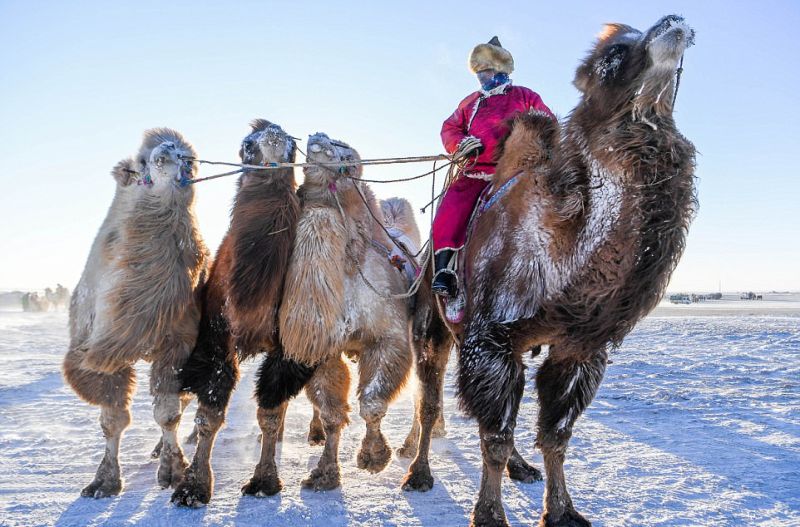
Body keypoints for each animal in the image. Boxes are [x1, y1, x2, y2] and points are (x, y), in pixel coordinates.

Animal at [63, 129, 209, 500]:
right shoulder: (98, 351)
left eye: (190, 159)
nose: (169, 151)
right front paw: (103, 481)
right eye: (141, 161)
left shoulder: (177, 345)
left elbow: (168, 413)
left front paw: (173, 470)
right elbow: (112, 418)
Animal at [171, 119, 300, 508]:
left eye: (292, 148)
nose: (273, 143)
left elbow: (270, 412)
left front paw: (264, 480)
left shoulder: (286, 345)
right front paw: (192, 487)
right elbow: (209, 413)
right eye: (247, 145)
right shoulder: (217, 337)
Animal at [241, 132, 418, 496]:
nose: (317, 136)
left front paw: (374, 457)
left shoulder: (390, 338)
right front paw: (324, 474)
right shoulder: (324, 349)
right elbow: (332, 413)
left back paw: (412, 450)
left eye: (345, 149)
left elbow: (372, 402)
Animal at [404, 14, 696, 524]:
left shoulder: (579, 348)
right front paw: (489, 514)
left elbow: (555, 436)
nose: (673, 22)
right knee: (430, 398)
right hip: (431, 323)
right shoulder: (488, 338)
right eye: (614, 54)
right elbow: (494, 437)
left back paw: (522, 468)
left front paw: (562, 511)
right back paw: (418, 473)